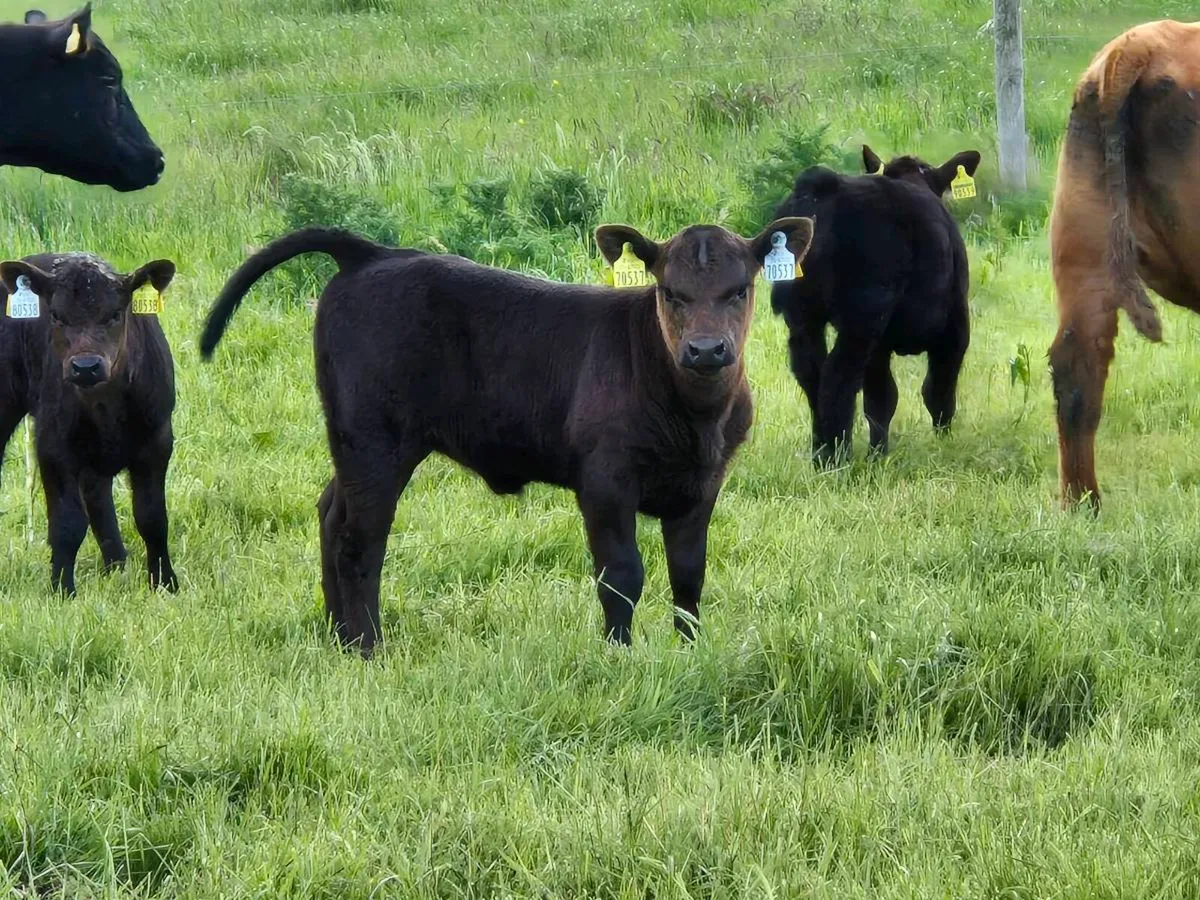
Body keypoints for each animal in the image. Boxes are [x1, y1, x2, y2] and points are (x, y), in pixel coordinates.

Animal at [0, 251, 178, 594]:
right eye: (56, 316)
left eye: (115, 314)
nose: (85, 366)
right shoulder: (53, 445)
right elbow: (67, 524)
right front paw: (62, 590)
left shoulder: (158, 438)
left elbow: (152, 518)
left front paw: (165, 583)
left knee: (97, 494)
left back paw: (116, 564)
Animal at [199, 219, 814, 657]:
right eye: (670, 291)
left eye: (739, 290)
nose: (706, 350)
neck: (694, 416)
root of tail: (374, 254)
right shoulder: (605, 480)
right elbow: (620, 574)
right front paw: (619, 656)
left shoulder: (703, 483)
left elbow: (688, 574)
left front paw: (689, 652)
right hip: (375, 440)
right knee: (359, 540)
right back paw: (367, 648)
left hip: (353, 443)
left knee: (331, 513)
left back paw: (336, 636)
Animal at [769, 146, 980, 465]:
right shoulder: (955, 328)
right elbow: (938, 392)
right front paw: (944, 443)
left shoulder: (880, 345)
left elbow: (880, 400)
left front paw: (878, 454)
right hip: (862, 318)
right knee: (837, 377)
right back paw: (837, 457)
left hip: (803, 317)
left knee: (811, 374)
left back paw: (821, 453)